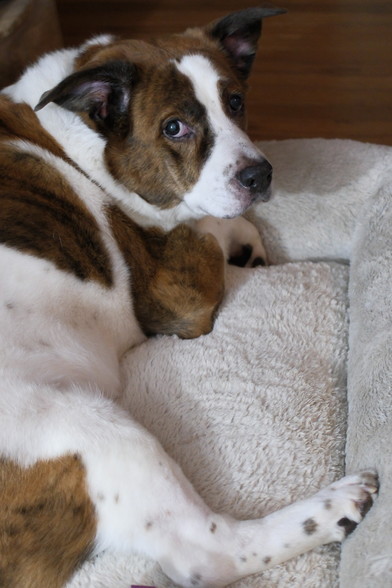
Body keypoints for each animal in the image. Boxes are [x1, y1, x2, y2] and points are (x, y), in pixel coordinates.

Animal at [0, 8, 380, 588]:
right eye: (174, 127)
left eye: (236, 102)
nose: (260, 174)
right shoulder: (178, 295)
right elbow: (209, 222)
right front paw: (239, 238)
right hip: (91, 430)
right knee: (209, 552)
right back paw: (332, 507)